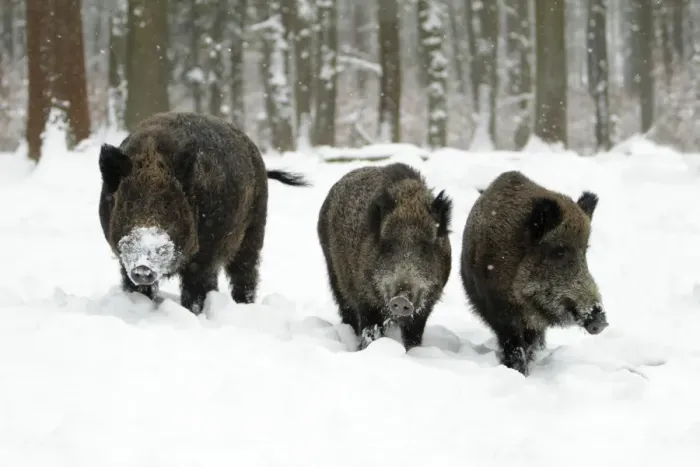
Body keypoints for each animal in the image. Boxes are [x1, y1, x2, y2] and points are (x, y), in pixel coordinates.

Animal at [98, 111, 310, 314]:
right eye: (128, 205)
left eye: (168, 205)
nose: (143, 267)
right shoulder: (123, 260)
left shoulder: (204, 255)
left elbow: (195, 290)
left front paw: (193, 313)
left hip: (254, 231)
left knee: (245, 273)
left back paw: (244, 305)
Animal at [317, 163, 453, 350]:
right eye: (389, 244)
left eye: (425, 247)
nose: (401, 299)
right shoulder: (366, 299)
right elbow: (370, 330)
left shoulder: (427, 305)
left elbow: (414, 335)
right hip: (333, 272)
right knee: (346, 311)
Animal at [460, 170, 608, 375]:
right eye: (559, 252)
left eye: (585, 251)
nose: (601, 322)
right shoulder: (499, 308)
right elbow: (514, 343)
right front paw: (519, 372)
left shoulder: (535, 323)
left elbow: (529, 343)